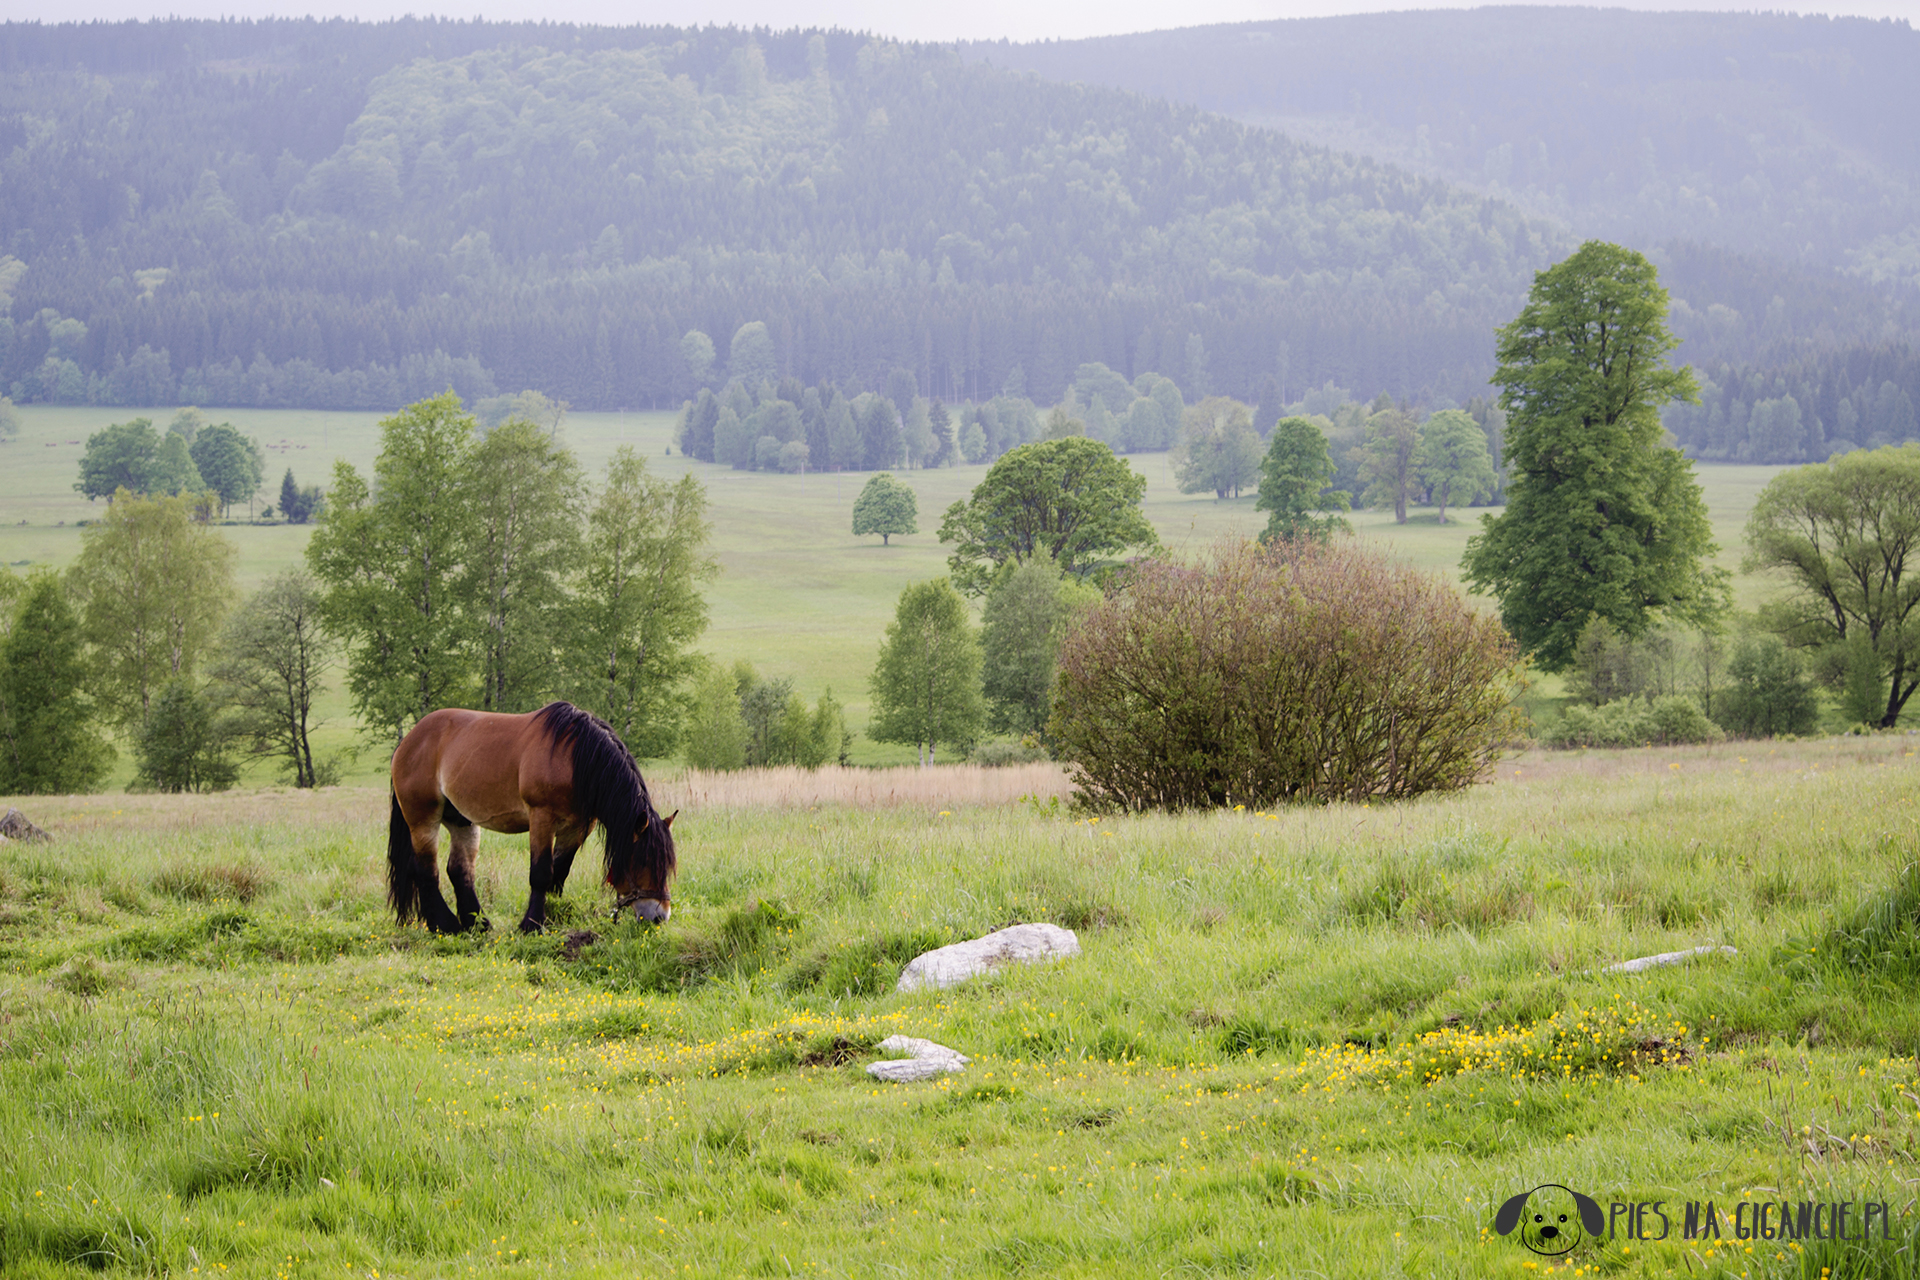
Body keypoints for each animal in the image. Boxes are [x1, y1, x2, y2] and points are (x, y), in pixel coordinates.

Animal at [385, 706, 679, 936]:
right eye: (642, 861)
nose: (659, 916)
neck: (575, 759)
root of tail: (408, 741)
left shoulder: (577, 828)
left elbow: (559, 873)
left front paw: (555, 915)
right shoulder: (542, 818)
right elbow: (541, 873)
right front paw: (532, 925)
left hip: (461, 821)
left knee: (459, 870)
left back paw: (477, 924)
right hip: (422, 818)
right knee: (425, 870)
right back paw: (444, 925)